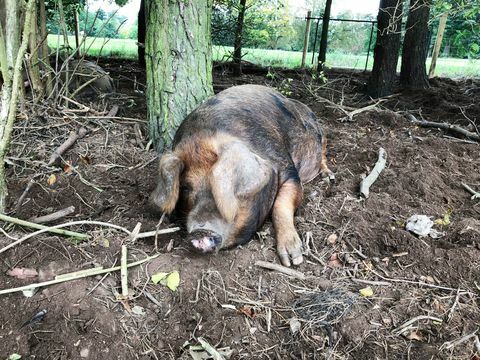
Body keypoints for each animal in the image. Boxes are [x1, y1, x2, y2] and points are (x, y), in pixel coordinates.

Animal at [151, 83, 334, 264]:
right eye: (185, 187)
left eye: (217, 187)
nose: (200, 231)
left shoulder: (288, 169)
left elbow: (281, 204)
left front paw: (293, 260)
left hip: (321, 134)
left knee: (324, 154)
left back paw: (328, 176)